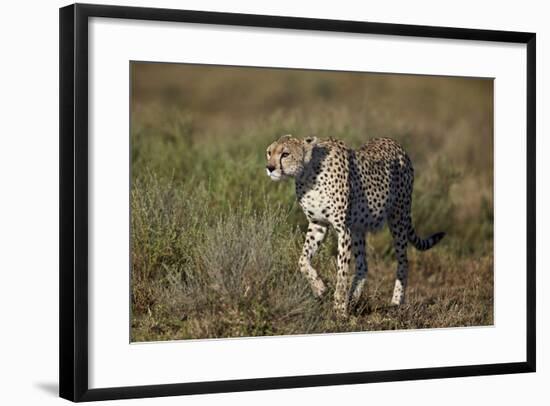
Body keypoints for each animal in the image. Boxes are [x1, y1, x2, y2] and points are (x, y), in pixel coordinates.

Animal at [266, 135, 446, 316]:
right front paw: (319, 288)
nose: (270, 168)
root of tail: (394, 143)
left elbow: (342, 273)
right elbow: (303, 260)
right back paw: (353, 299)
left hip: (398, 218)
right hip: (359, 227)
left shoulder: (343, 229)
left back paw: (395, 302)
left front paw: (339, 309)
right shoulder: (318, 224)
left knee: (403, 262)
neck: (307, 173)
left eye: (285, 154)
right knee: (363, 265)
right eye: (269, 152)